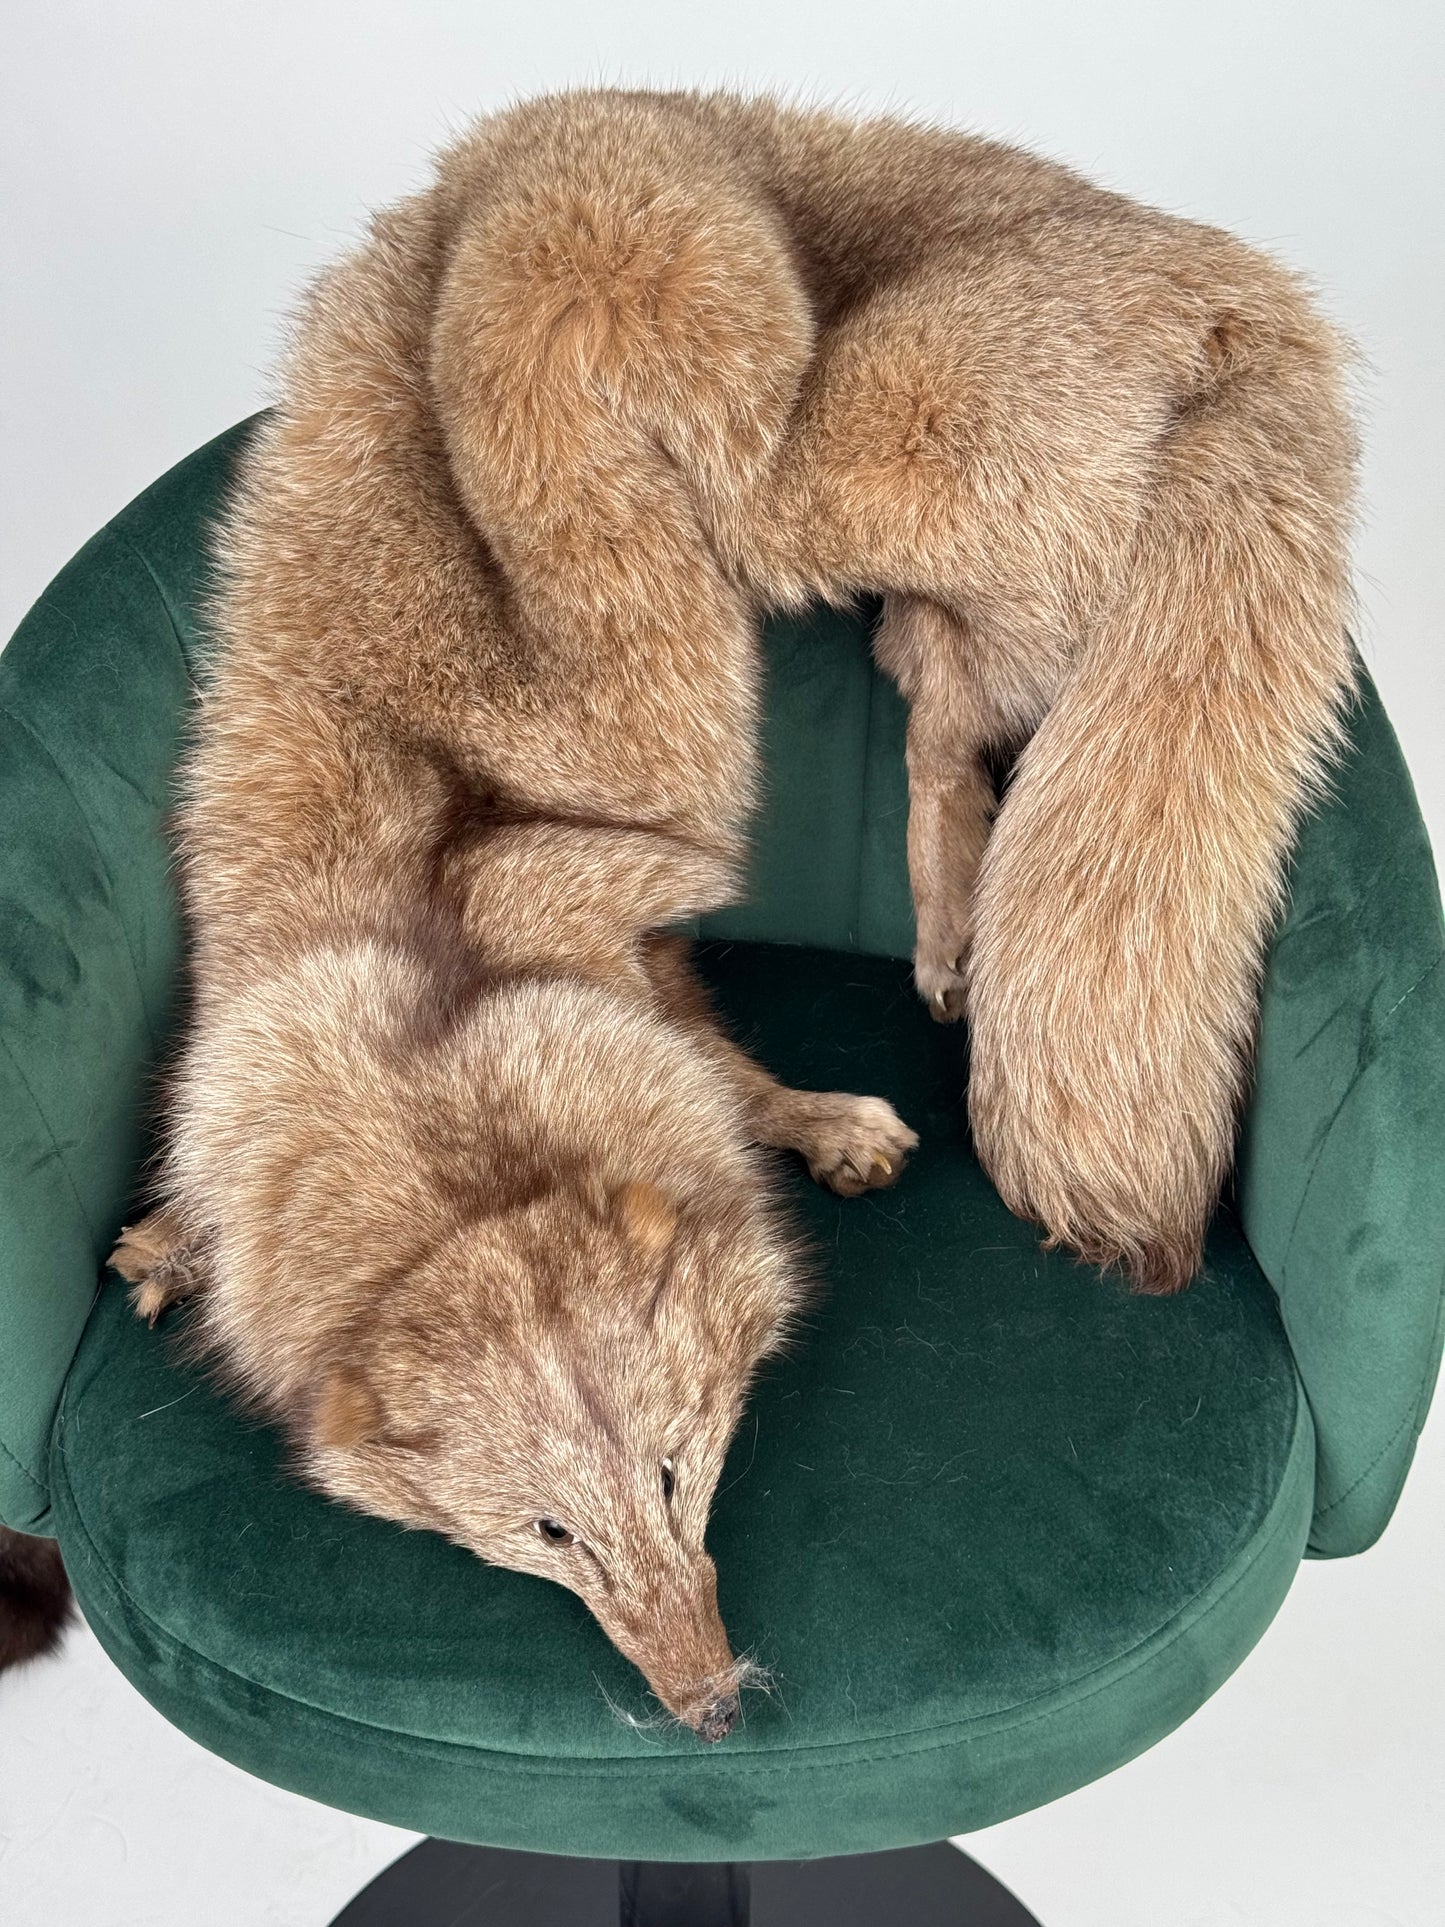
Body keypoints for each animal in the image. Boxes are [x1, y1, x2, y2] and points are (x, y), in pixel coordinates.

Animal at [110, 89, 1355, 1732]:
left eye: (674, 1470)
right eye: (546, 1534)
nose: (710, 1704)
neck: (416, 1008)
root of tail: (1221, 272)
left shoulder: (570, 891)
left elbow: (723, 1061)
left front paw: (819, 1124)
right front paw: (168, 1245)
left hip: (724, 389)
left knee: (996, 644)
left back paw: (953, 904)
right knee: (944, 675)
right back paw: (950, 923)